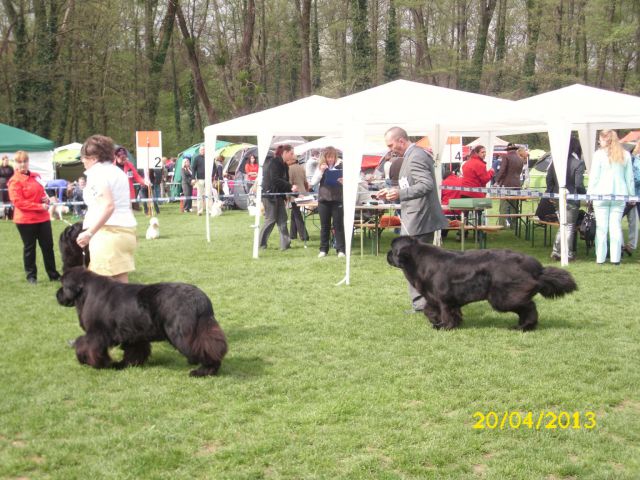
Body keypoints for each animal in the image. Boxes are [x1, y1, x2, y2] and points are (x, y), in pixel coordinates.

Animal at [56, 266, 228, 376]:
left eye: (62, 285)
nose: (57, 294)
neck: (85, 292)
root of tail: (201, 299)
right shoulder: (134, 333)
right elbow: (134, 351)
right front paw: (123, 365)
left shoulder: (97, 333)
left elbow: (85, 344)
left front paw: (91, 361)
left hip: (180, 333)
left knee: (204, 349)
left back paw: (203, 371)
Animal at [388, 236, 576, 330]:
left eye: (393, 249)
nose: (388, 255)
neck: (418, 261)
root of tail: (537, 267)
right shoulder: (434, 297)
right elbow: (429, 310)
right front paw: (438, 322)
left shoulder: (444, 298)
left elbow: (446, 312)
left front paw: (446, 326)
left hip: (503, 296)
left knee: (529, 306)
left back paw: (524, 326)